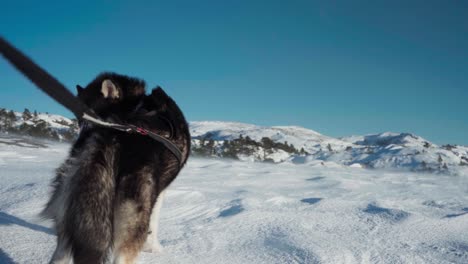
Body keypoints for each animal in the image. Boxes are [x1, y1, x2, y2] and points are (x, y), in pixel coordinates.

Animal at [40, 72, 190, 264]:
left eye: (85, 119)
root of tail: (109, 137)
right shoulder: (159, 192)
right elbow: (154, 223)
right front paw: (155, 248)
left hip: (69, 219)